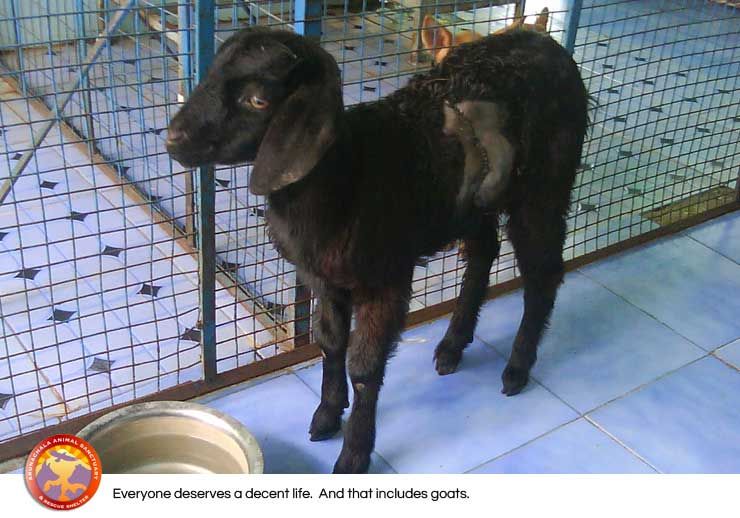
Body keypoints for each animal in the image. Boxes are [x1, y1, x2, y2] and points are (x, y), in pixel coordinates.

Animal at [166, 26, 590, 473]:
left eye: (258, 100)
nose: (172, 138)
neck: (348, 174)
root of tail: (545, 42)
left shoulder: (384, 279)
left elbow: (365, 366)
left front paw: (354, 453)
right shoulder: (323, 277)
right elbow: (330, 341)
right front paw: (326, 415)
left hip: (545, 187)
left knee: (543, 275)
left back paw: (516, 368)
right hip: (474, 202)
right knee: (484, 253)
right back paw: (452, 346)